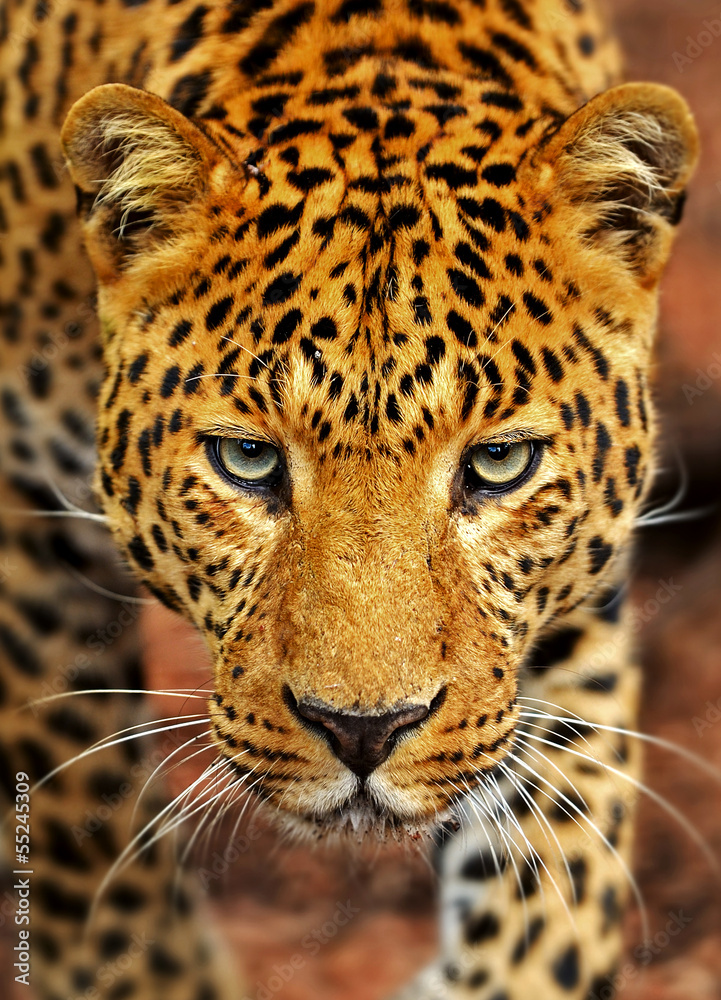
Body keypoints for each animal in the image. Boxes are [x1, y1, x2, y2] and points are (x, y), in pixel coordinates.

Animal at [0, 0, 700, 997]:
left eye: (497, 464)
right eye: (247, 459)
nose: (363, 734)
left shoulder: (569, 599)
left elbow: (558, 883)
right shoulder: (27, 524)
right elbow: (80, 836)